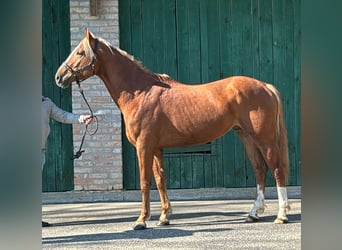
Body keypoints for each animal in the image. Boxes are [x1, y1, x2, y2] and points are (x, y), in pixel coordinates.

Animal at [54, 28, 290, 229]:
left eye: (80, 52)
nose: (59, 77)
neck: (140, 92)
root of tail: (265, 86)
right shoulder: (156, 148)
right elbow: (160, 180)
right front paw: (164, 217)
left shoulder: (144, 147)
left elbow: (145, 181)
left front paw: (141, 220)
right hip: (246, 136)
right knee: (260, 169)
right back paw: (253, 213)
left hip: (264, 138)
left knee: (277, 169)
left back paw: (281, 215)